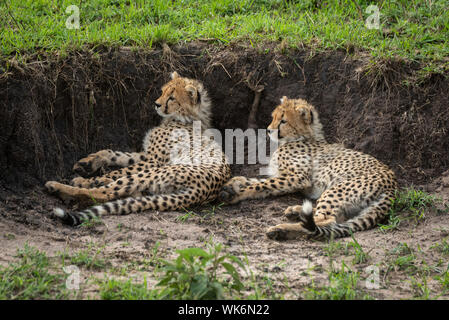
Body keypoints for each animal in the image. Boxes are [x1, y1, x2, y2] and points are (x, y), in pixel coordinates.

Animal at [46, 71, 231, 226]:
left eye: (172, 98)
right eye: (163, 91)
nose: (156, 104)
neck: (185, 118)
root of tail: (203, 191)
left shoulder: (153, 161)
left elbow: (118, 171)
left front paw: (95, 178)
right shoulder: (147, 155)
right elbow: (115, 154)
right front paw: (89, 162)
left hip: (157, 172)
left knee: (106, 192)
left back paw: (64, 186)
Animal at [219, 97, 398, 240]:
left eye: (283, 121)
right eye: (274, 117)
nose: (269, 130)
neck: (303, 137)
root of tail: (393, 186)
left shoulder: (298, 178)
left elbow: (260, 185)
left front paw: (235, 194)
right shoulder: (283, 175)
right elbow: (255, 180)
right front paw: (232, 183)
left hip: (337, 189)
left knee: (324, 221)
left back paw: (281, 229)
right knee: (330, 218)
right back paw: (296, 211)